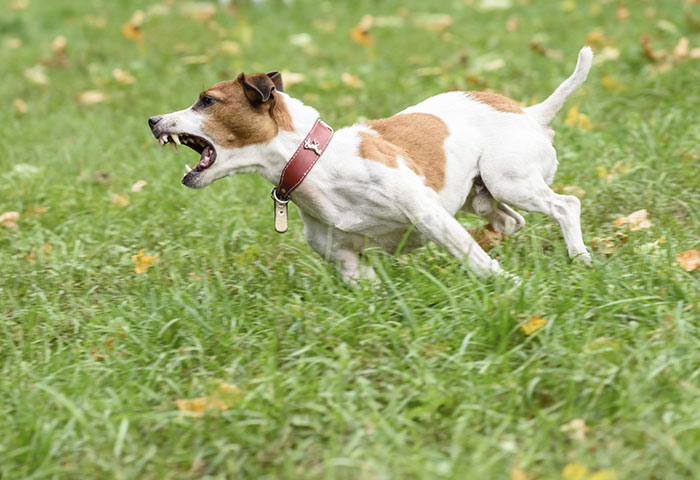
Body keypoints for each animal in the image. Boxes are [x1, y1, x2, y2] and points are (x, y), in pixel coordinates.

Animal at [150, 47, 592, 284]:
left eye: (207, 101)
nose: (153, 120)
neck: (316, 165)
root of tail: (530, 113)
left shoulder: (428, 214)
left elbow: (475, 259)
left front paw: (509, 285)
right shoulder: (345, 260)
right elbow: (367, 283)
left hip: (508, 180)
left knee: (565, 205)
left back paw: (580, 257)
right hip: (481, 198)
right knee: (510, 220)